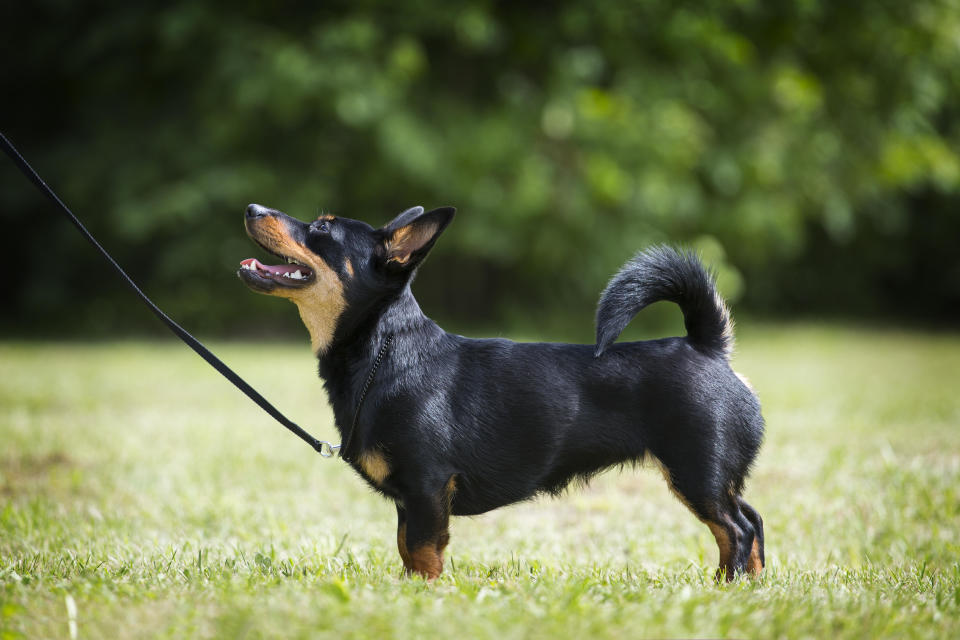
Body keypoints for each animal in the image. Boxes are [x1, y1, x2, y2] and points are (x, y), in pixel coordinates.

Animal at [238, 204, 764, 580]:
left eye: (321, 230)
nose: (251, 207)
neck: (384, 351)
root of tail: (706, 344)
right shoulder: (411, 501)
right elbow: (407, 547)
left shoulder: (427, 488)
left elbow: (423, 552)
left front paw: (423, 595)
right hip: (713, 480)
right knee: (752, 522)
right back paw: (749, 586)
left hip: (697, 474)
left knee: (735, 530)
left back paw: (726, 585)